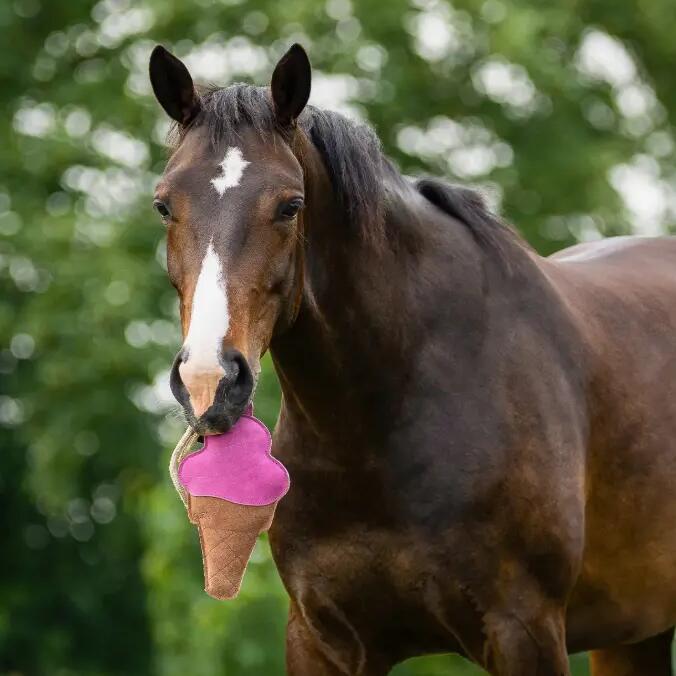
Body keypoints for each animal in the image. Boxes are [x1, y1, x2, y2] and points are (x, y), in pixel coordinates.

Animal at [148, 43, 676, 675]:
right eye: (163, 205)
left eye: (290, 206)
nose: (209, 380)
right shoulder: (322, 639)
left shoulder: (526, 631)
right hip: (633, 633)